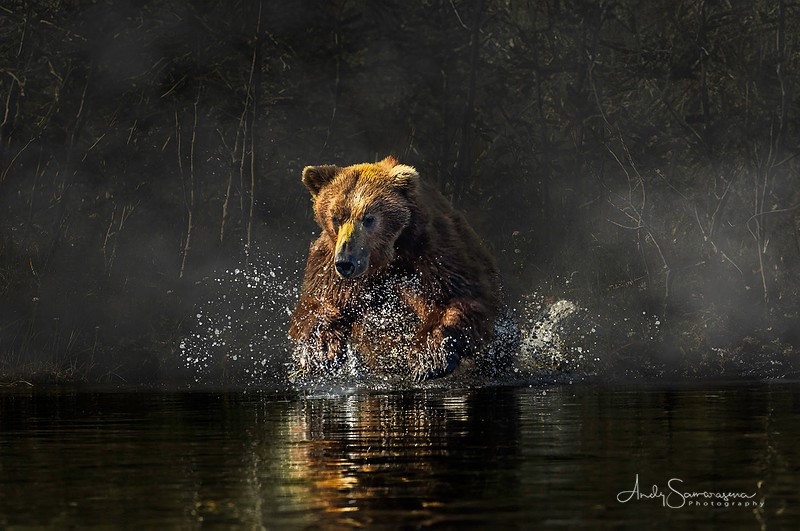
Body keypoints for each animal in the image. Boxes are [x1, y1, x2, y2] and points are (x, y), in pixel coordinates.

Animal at [288, 156, 501, 381]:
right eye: (336, 217)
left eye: (368, 218)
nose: (346, 262)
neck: (385, 259)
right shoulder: (329, 265)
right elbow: (317, 303)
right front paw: (321, 351)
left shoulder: (432, 254)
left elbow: (458, 297)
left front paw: (427, 358)